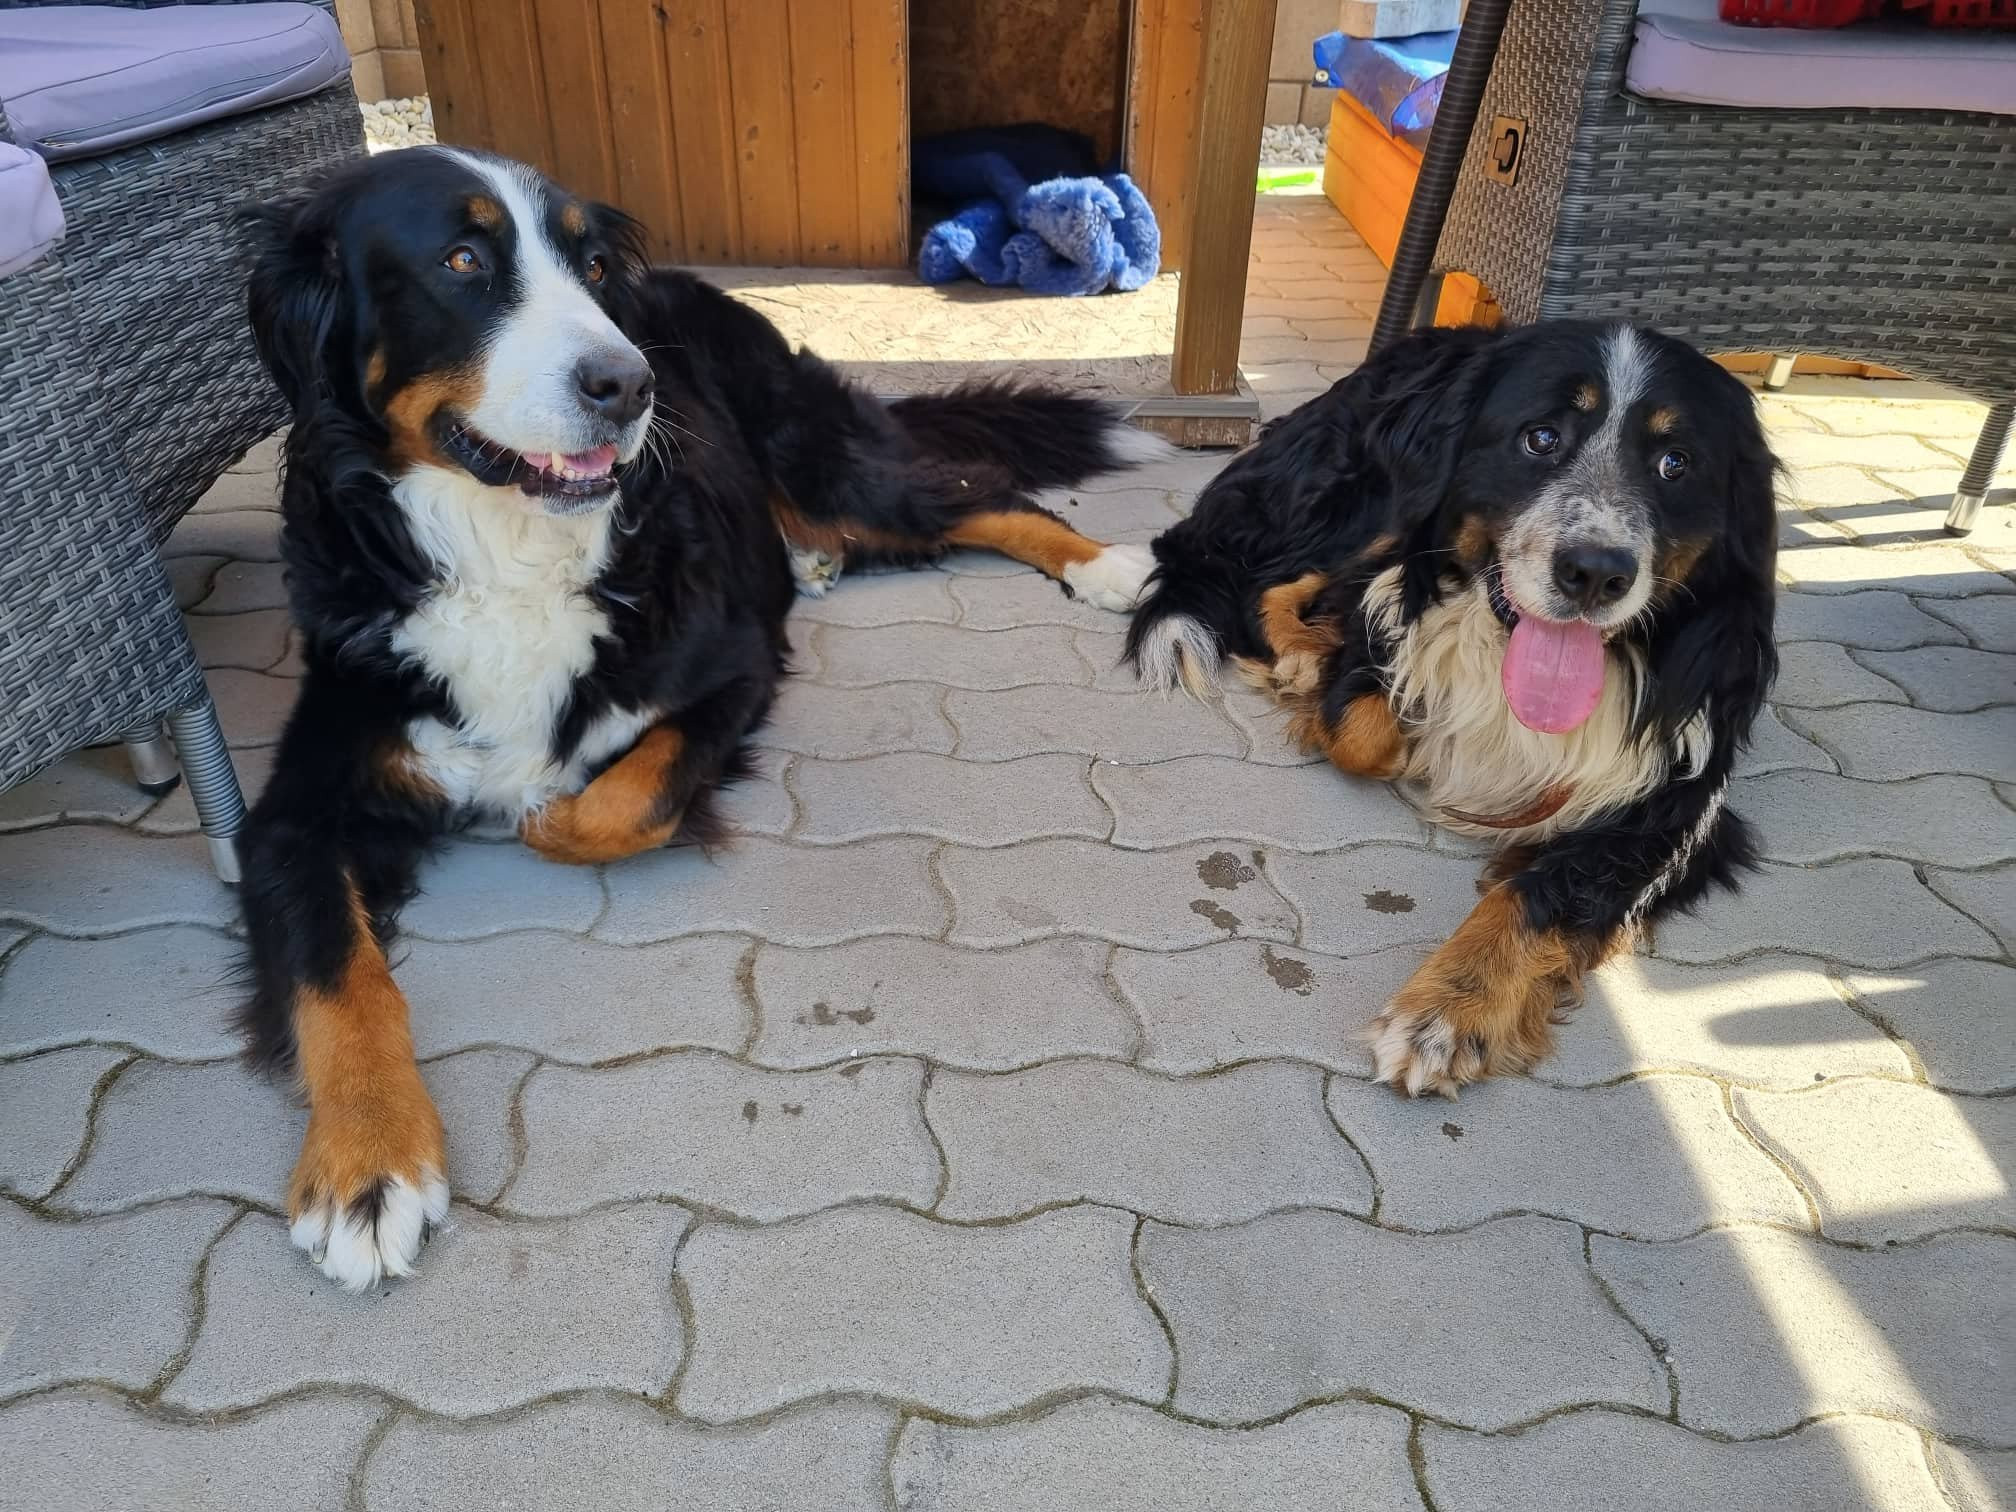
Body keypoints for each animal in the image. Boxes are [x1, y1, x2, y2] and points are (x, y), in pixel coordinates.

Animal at [237, 147, 1161, 1289]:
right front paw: (368, 1161)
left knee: (980, 496)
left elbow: (620, 805)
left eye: (591, 265)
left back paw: (1105, 566)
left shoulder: (730, 666)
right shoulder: (296, 809)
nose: (629, 384)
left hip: (822, 454)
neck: (503, 553)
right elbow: (339, 979)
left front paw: (545, 811)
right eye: (461, 260)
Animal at [1126, 321, 1779, 1098]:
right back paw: (1303, 655)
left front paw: (1450, 1011)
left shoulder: (1678, 798)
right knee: (1269, 577)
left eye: (1675, 463)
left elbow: (1545, 890)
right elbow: (1366, 731)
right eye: (1540, 438)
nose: (1595, 574)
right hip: (1371, 500)